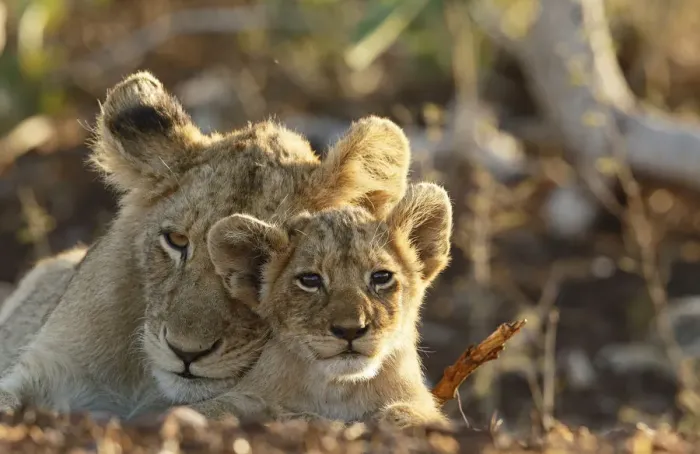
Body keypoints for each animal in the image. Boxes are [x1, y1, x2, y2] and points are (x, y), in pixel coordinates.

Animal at [194, 182, 453, 428]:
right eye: (310, 280)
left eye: (381, 277)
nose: (350, 330)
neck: (340, 390)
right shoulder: (247, 394)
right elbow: (225, 405)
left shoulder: (420, 402)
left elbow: (411, 413)